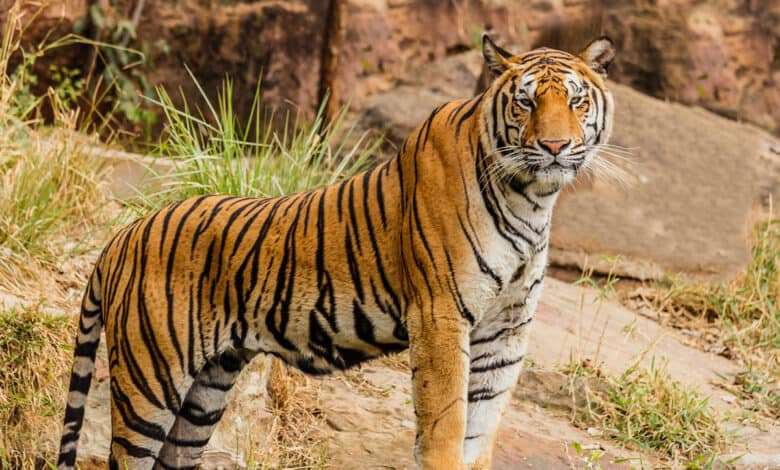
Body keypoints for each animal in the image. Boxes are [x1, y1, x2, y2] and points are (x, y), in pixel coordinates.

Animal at [57, 35, 615, 470]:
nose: (555, 147)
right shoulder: (440, 316)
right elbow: (446, 425)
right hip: (150, 381)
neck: (532, 198)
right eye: (525, 102)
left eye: (576, 102)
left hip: (206, 391)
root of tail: (122, 236)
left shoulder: (507, 329)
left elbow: (480, 429)